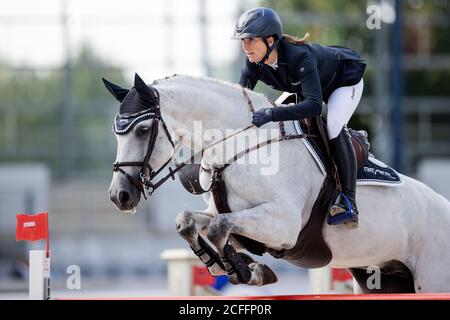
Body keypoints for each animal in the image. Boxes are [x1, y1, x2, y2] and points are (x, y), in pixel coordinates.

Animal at [106, 74, 450, 294]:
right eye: (116, 134)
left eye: (142, 131)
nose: (119, 196)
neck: (238, 145)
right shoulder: (234, 218)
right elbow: (190, 221)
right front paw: (227, 265)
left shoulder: (283, 226)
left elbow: (219, 227)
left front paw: (245, 270)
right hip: (377, 278)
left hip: (431, 279)